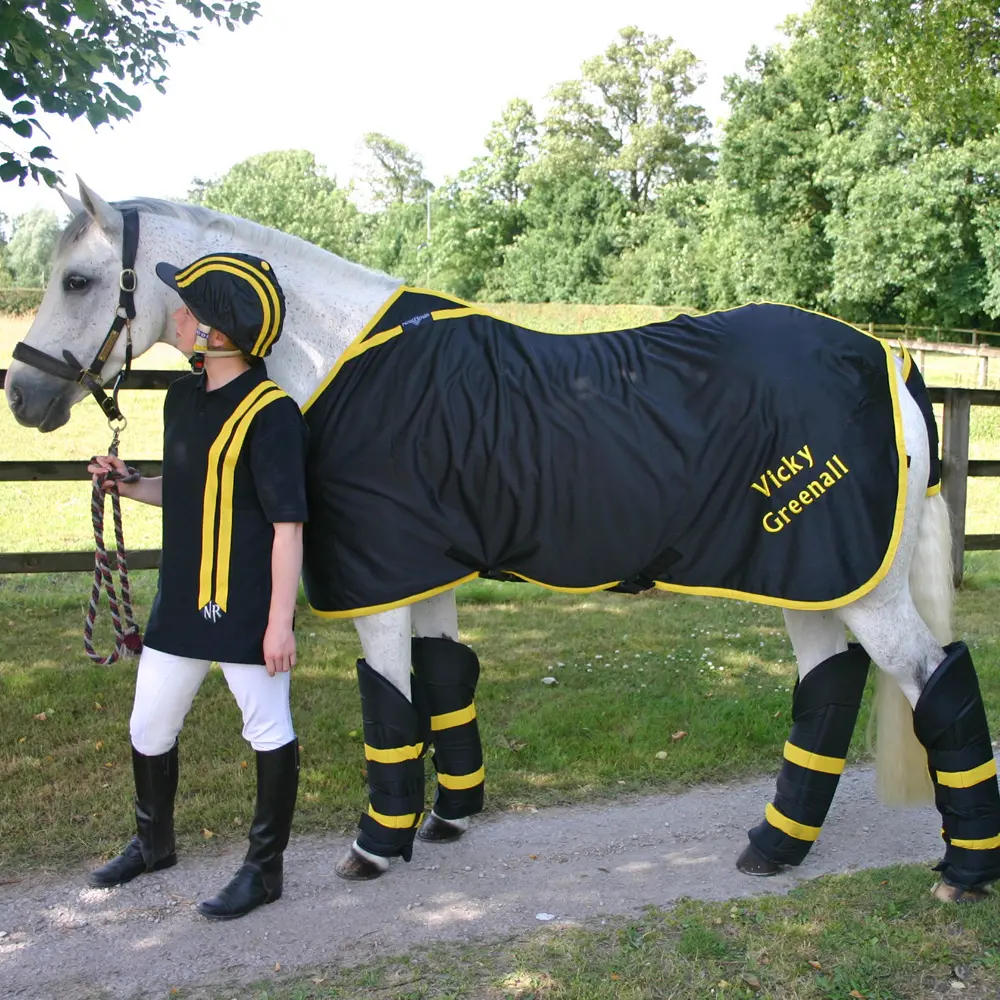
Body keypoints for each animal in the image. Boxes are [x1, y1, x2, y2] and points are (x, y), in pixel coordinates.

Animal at [7, 178, 1000, 900]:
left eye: (79, 281)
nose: (26, 396)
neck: (342, 358)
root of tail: (894, 365)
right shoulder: (422, 573)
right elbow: (444, 683)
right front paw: (448, 817)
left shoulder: (380, 583)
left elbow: (388, 702)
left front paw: (377, 845)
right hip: (810, 576)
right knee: (826, 691)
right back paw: (774, 847)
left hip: (856, 584)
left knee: (935, 681)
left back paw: (962, 871)